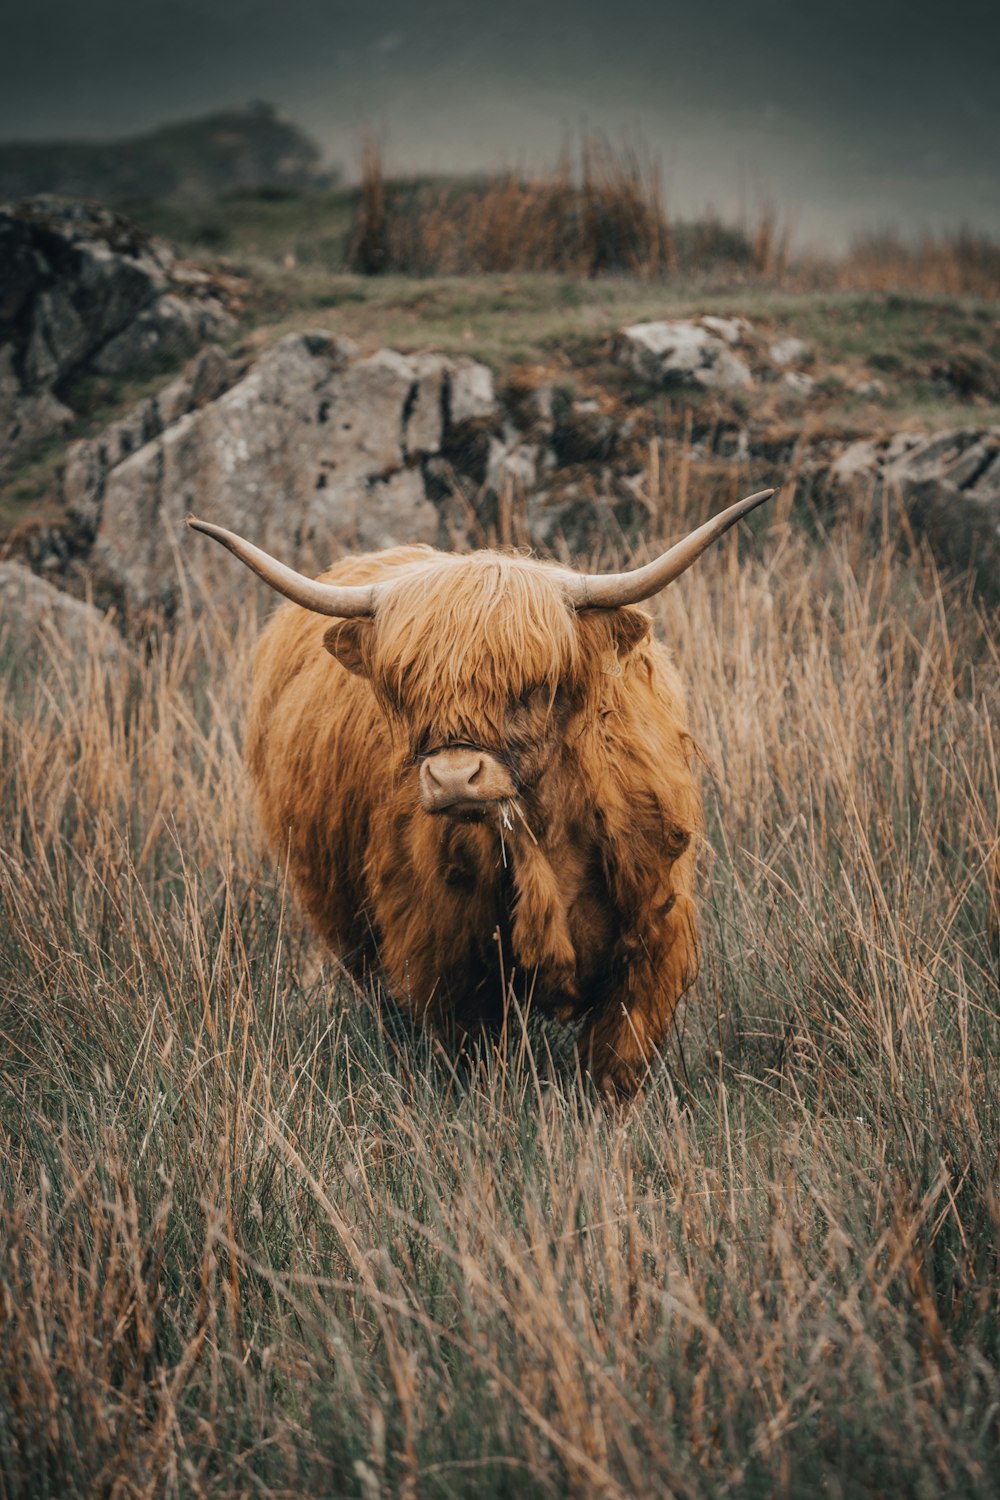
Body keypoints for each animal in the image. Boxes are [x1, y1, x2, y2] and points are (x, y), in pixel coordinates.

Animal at [191, 489, 779, 1092]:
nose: (454, 776)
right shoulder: (447, 956)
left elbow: (615, 1063)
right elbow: (479, 1058)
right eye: (406, 691)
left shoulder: (652, 938)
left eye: (532, 688)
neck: (548, 842)